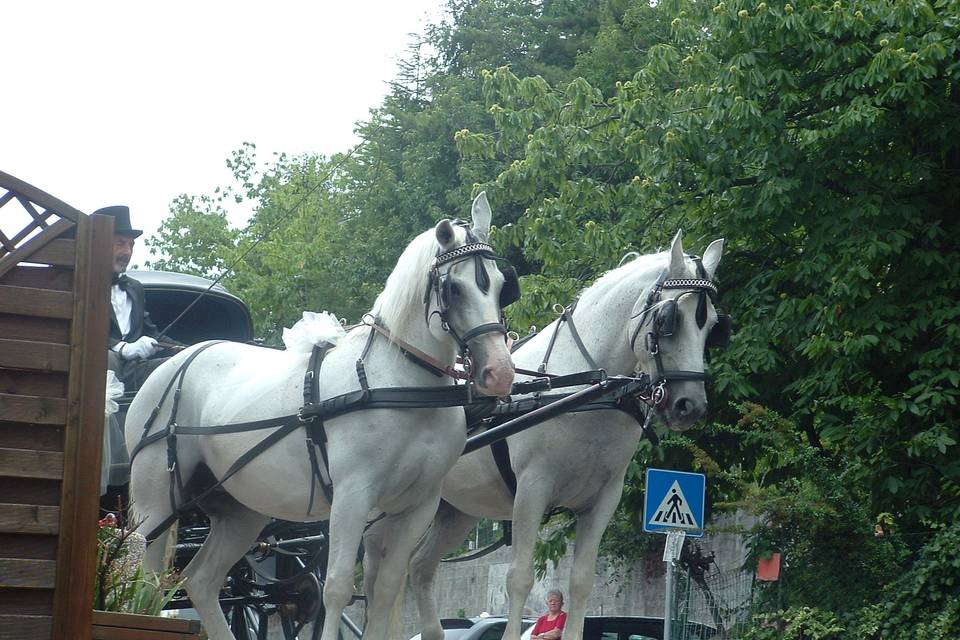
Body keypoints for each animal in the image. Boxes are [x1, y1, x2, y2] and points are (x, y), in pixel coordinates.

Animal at [125, 194, 516, 640]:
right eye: (454, 287)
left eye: (501, 286)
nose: (500, 373)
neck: (399, 382)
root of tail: (180, 358)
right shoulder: (352, 495)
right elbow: (338, 588)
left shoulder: (418, 503)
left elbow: (384, 590)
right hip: (156, 502)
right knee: (143, 582)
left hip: (240, 510)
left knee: (201, 581)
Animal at [364, 230, 724, 640]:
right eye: (668, 320)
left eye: (713, 325)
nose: (689, 405)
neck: (581, 389)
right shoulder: (532, 488)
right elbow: (519, 577)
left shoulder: (604, 498)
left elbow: (581, 581)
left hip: (454, 509)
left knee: (420, 567)